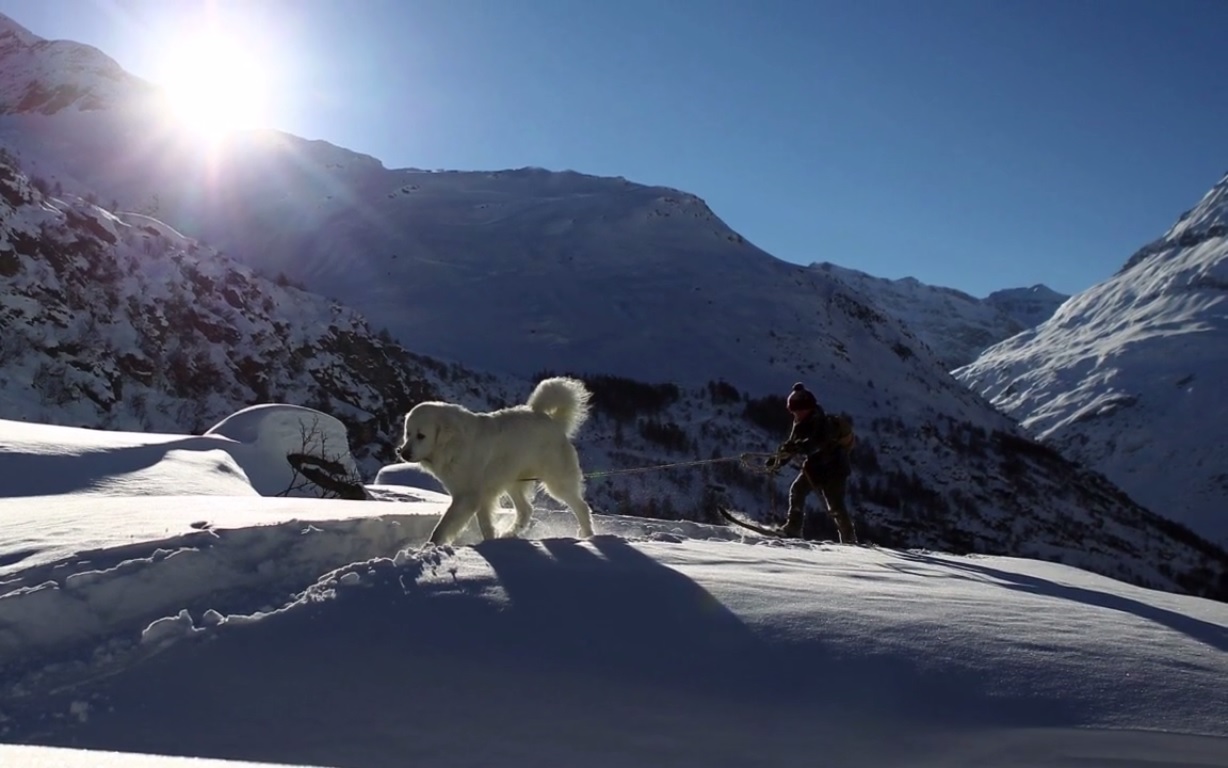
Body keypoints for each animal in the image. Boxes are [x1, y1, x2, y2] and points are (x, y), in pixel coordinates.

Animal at [395, 376, 596, 545]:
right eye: (408, 433)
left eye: (421, 436)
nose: (403, 453)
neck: (452, 443)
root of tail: (552, 421)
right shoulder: (480, 495)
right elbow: (485, 524)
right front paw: (491, 543)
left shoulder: (467, 496)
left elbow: (444, 524)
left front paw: (430, 546)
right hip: (513, 481)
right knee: (526, 510)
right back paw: (509, 534)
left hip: (556, 481)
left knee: (581, 506)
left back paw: (587, 536)